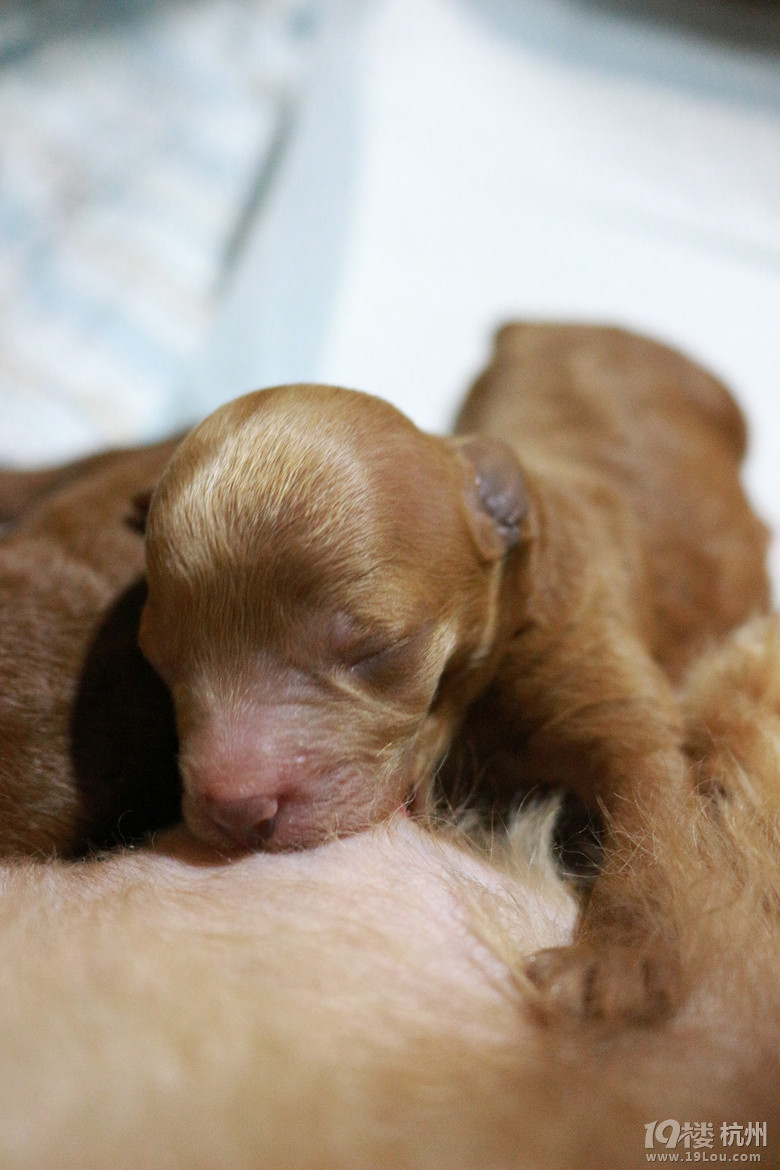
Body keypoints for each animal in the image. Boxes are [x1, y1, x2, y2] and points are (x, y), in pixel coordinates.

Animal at [140, 325, 767, 1020]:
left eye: (376, 650)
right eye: (158, 659)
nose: (233, 809)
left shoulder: (596, 661)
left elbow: (650, 817)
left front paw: (615, 960)